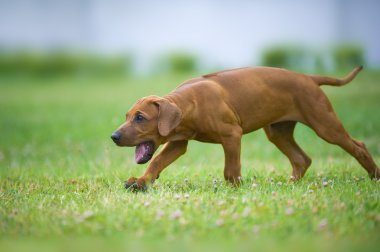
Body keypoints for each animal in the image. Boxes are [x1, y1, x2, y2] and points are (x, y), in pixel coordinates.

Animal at [111, 66, 378, 190]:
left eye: (140, 118)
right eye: (127, 116)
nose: (114, 136)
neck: (189, 104)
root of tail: (309, 77)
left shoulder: (232, 135)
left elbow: (230, 169)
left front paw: (235, 190)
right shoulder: (177, 143)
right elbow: (156, 162)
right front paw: (141, 182)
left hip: (324, 123)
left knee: (358, 146)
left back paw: (374, 176)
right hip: (277, 131)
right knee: (301, 159)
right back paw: (289, 185)